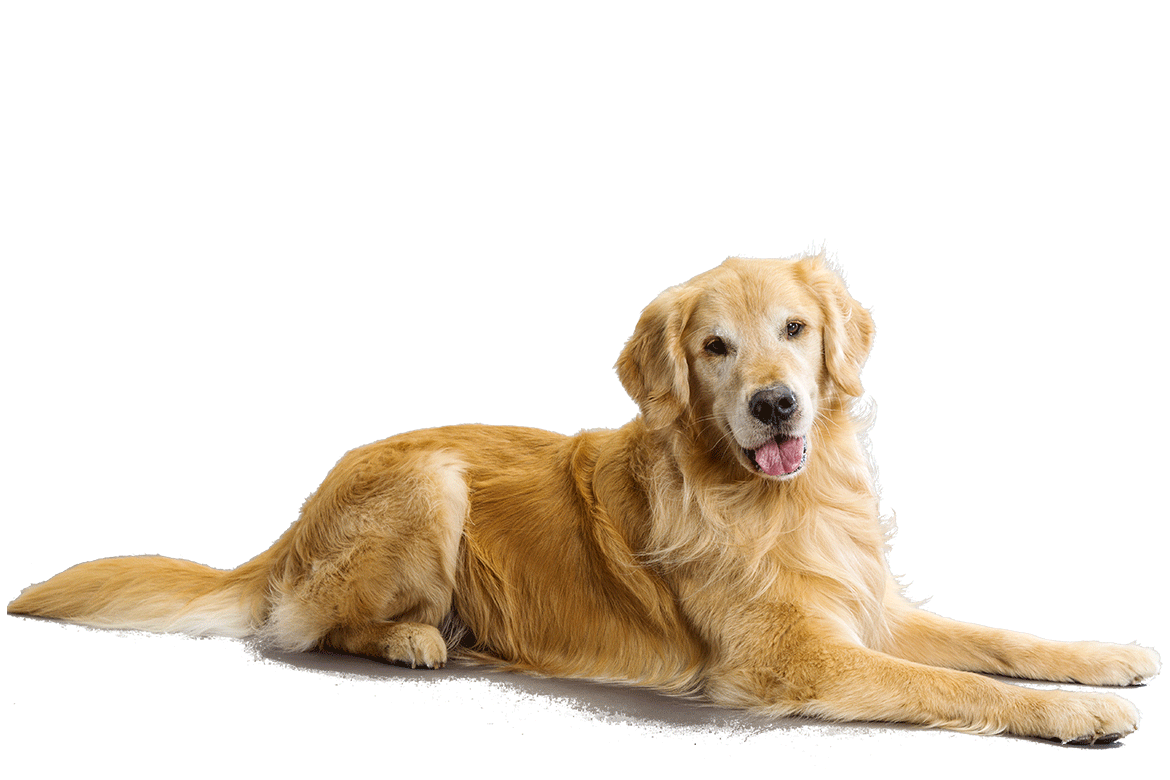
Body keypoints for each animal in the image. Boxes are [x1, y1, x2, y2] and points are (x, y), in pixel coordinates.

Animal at [9, 254, 1160, 743]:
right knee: (309, 624)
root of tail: (293, 519)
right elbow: (956, 683)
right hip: (428, 483)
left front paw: (1105, 658)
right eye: (715, 347)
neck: (774, 503)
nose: (777, 405)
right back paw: (419, 639)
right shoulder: (795, 658)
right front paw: (1080, 713)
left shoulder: (866, 606)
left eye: (794, 329)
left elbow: (998, 639)